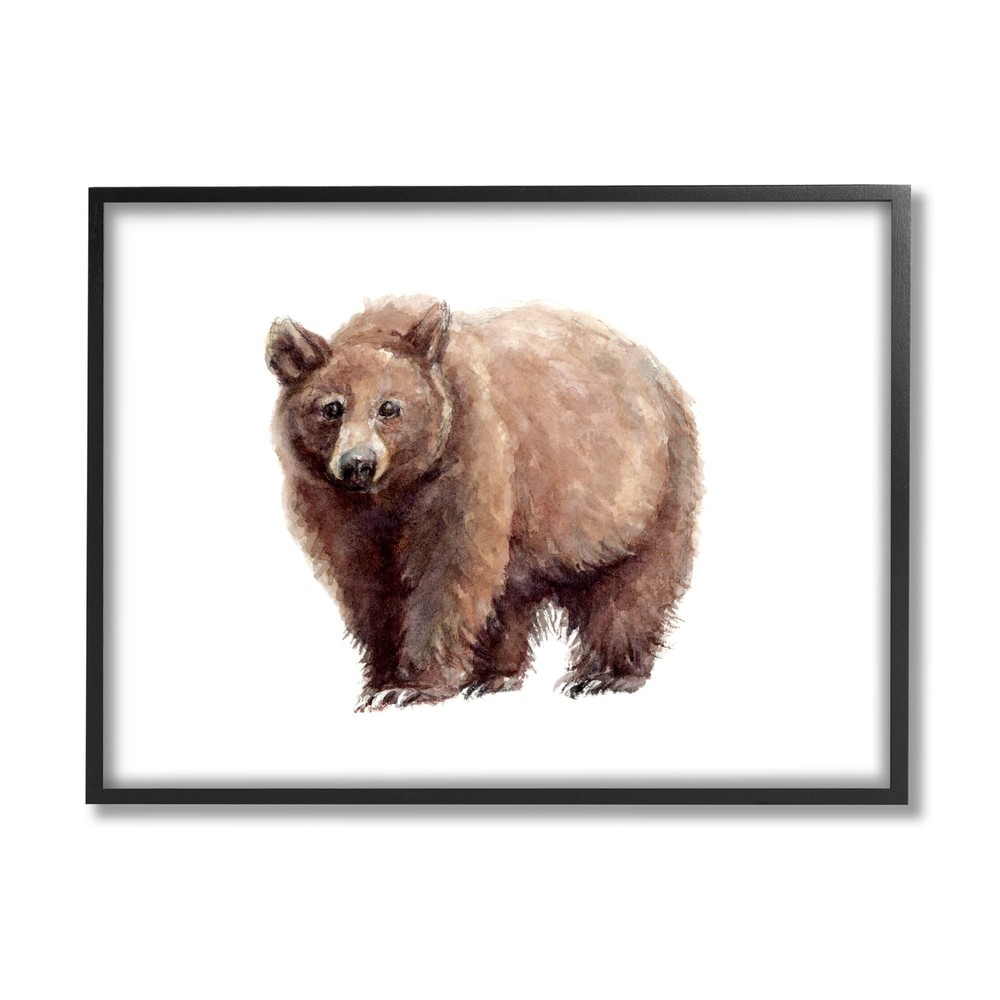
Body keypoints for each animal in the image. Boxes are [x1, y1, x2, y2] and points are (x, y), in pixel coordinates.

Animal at [266, 296, 702, 711]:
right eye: (331, 408)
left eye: (389, 407)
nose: (358, 463)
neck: (393, 489)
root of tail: (660, 374)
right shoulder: (332, 501)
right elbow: (366, 580)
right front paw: (381, 680)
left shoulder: (468, 455)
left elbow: (448, 568)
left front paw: (408, 687)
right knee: (510, 593)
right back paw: (495, 676)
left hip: (648, 488)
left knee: (634, 586)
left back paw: (604, 675)